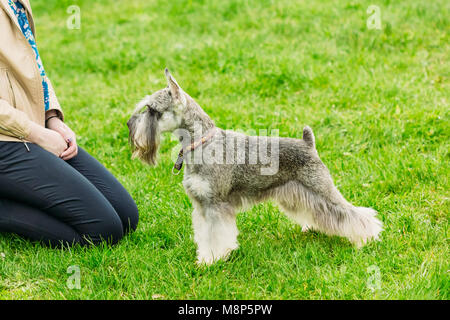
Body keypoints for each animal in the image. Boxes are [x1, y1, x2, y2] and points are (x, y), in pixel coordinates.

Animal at [127, 69, 384, 264]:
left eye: (152, 110)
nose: (129, 125)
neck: (202, 143)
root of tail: (308, 143)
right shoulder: (201, 206)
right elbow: (204, 235)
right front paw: (204, 258)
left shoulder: (215, 205)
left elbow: (216, 236)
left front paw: (212, 260)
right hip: (300, 195)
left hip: (321, 188)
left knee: (353, 213)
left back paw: (367, 238)